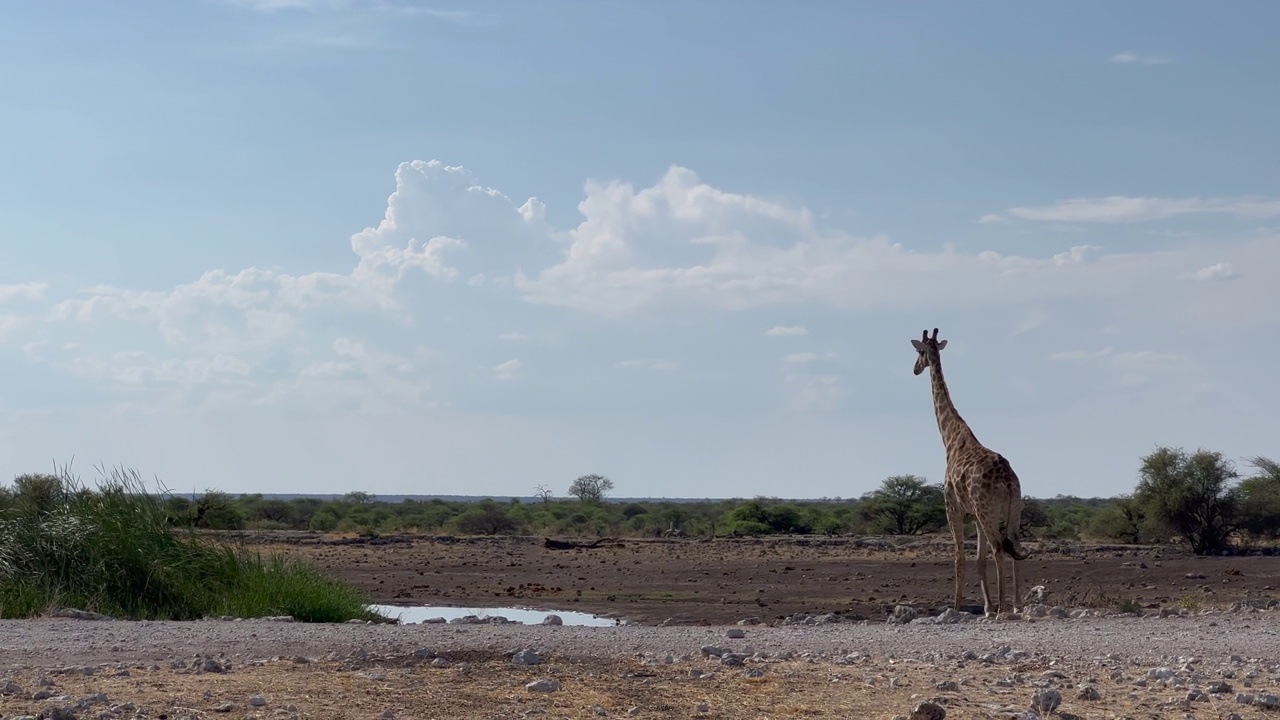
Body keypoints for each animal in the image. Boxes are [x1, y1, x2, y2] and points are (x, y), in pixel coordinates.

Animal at [911, 327, 1029, 614]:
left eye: (919, 351)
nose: (915, 369)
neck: (951, 438)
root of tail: (1008, 480)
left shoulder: (952, 507)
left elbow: (959, 557)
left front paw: (956, 606)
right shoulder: (974, 514)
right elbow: (979, 559)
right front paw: (985, 606)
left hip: (988, 511)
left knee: (999, 549)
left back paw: (1002, 609)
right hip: (1013, 509)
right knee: (1015, 547)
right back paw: (1016, 605)